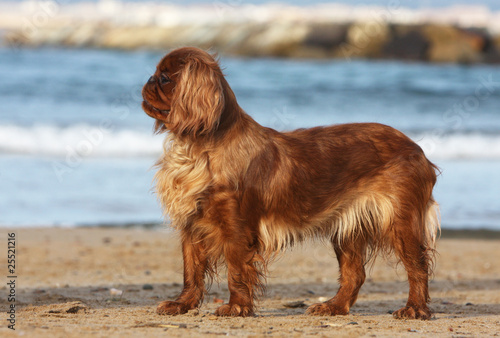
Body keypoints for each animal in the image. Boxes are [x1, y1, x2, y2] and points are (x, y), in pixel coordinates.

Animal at [141, 46, 438, 320]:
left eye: (164, 78)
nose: (148, 80)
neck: (196, 148)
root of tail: (416, 149)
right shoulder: (192, 224)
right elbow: (191, 271)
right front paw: (182, 304)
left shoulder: (236, 229)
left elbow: (236, 271)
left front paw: (236, 307)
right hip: (348, 229)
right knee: (355, 274)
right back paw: (333, 307)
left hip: (400, 223)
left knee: (418, 267)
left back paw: (415, 309)